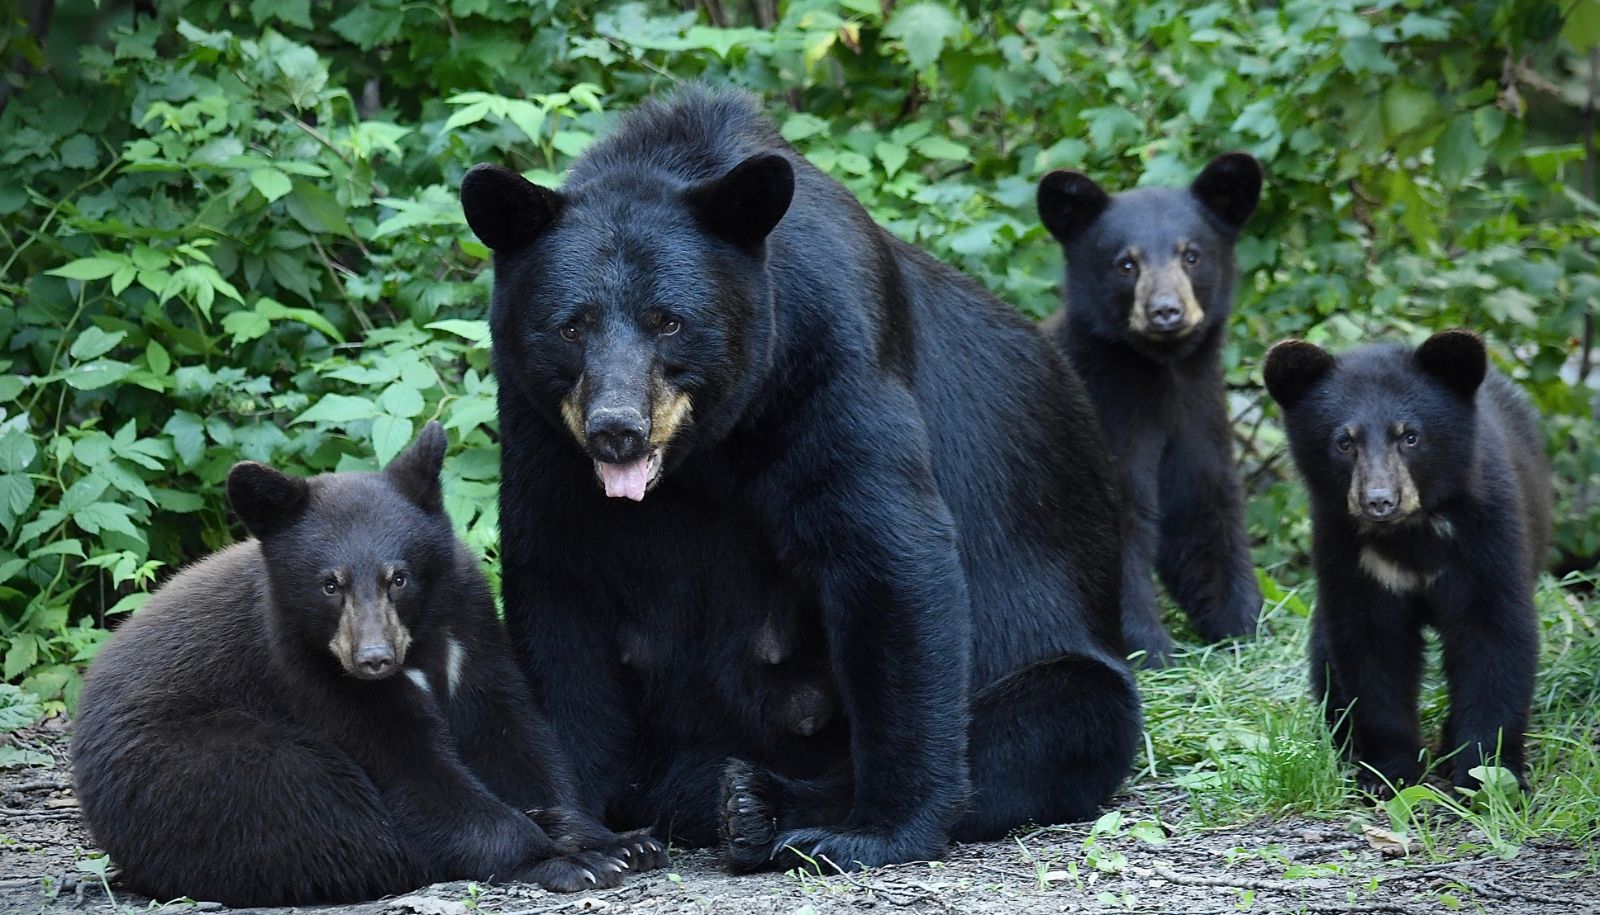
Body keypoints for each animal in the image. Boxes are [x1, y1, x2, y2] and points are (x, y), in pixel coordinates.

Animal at [73, 422, 662, 908]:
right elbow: (414, 776)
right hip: (194, 770)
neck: (418, 646)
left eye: (398, 576)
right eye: (329, 585)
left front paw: (614, 838)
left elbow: (513, 735)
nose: (373, 660)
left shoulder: (470, 630)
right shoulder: (307, 673)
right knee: (317, 813)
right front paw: (569, 858)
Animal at [460, 87, 1139, 870]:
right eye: (571, 326)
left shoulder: (829, 354)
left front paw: (880, 827)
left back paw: (757, 804)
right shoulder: (539, 423)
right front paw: (585, 836)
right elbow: (560, 585)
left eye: (669, 322)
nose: (616, 427)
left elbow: (886, 555)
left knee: (1060, 718)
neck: (707, 446)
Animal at [1036, 153, 1260, 662]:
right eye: (1125, 264)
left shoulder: (1197, 417)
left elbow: (1202, 511)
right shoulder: (1104, 420)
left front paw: (1246, 626)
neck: (1160, 375)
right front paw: (1151, 650)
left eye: (1191, 255)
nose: (1166, 311)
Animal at [1260, 332, 1548, 790]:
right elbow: (1372, 650)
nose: (1379, 500)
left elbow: (1494, 636)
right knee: (1325, 657)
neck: (1410, 533)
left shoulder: (1486, 535)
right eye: (1345, 442)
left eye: (1409, 436)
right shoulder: (1347, 551)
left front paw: (1483, 774)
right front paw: (1390, 774)